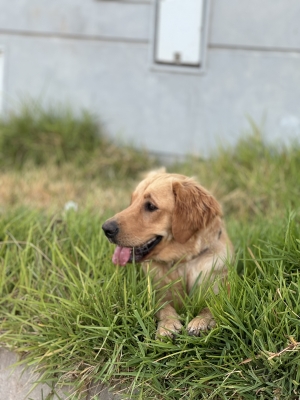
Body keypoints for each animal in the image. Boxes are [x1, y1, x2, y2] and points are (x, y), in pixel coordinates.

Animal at [102, 171, 233, 338]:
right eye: (131, 201)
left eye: (151, 206)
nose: (106, 228)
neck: (183, 262)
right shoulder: (157, 291)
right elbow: (163, 306)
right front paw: (168, 325)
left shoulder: (222, 289)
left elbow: (212, 305)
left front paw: (201, 322)